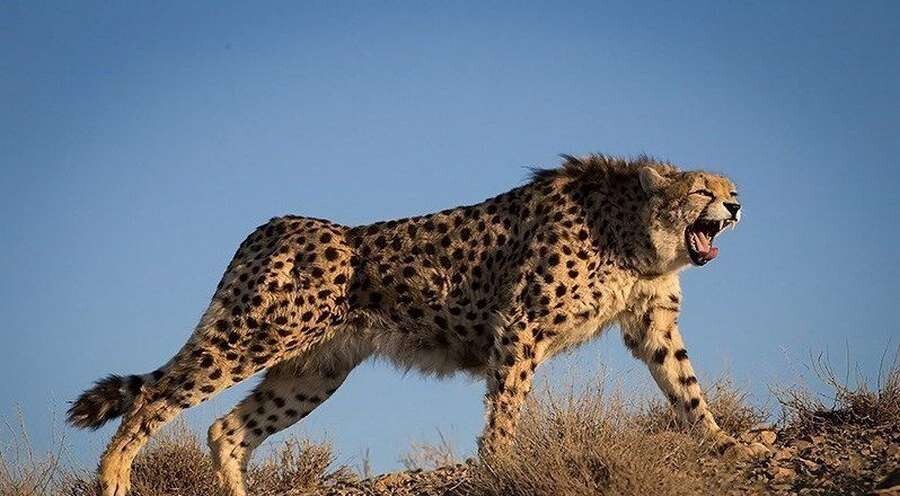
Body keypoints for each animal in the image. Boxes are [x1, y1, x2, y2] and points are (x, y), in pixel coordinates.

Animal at [68, 154, 765, 496]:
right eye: (702, 191)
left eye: (730, 189)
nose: (735, 206)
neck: (634, 231)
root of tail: (275, 225)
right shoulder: (519, 325)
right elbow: (506, 405)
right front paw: (500, 464)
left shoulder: (653, 326)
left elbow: (687, 389)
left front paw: (727, 443)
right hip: (256, 335)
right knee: (158, 397)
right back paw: (114, 479)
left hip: (313, 371)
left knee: (229, 428)